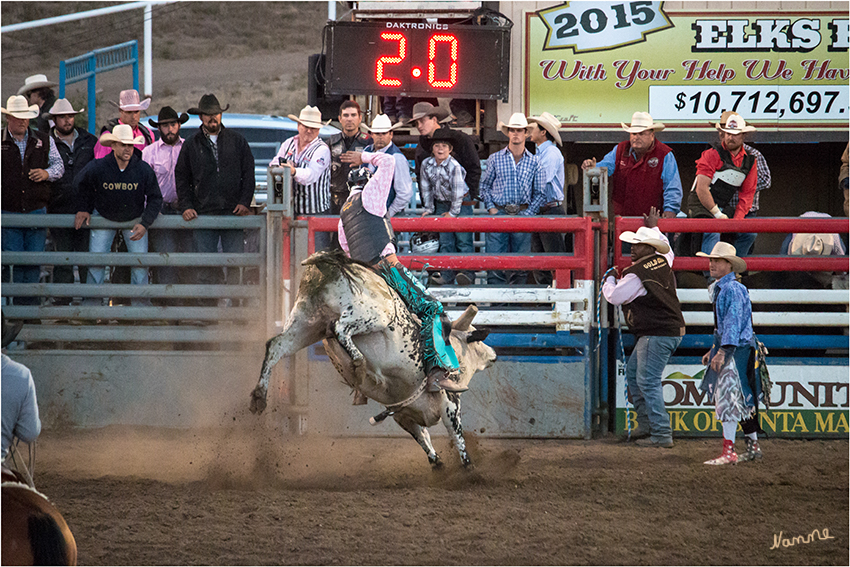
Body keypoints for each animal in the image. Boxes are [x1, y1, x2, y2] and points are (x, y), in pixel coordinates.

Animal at [248, 251, 494, 468]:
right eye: (476, 338)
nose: (493, 353)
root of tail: (329, 264)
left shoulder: (402, 415)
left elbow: (424, 439)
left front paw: (438, 463)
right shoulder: (450, 404)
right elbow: (457, 437)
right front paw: (469, 469)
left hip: (306, 323)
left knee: (276, 346)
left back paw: (259, 397)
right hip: (372, 316)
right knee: (340, 328)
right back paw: (358, 363)